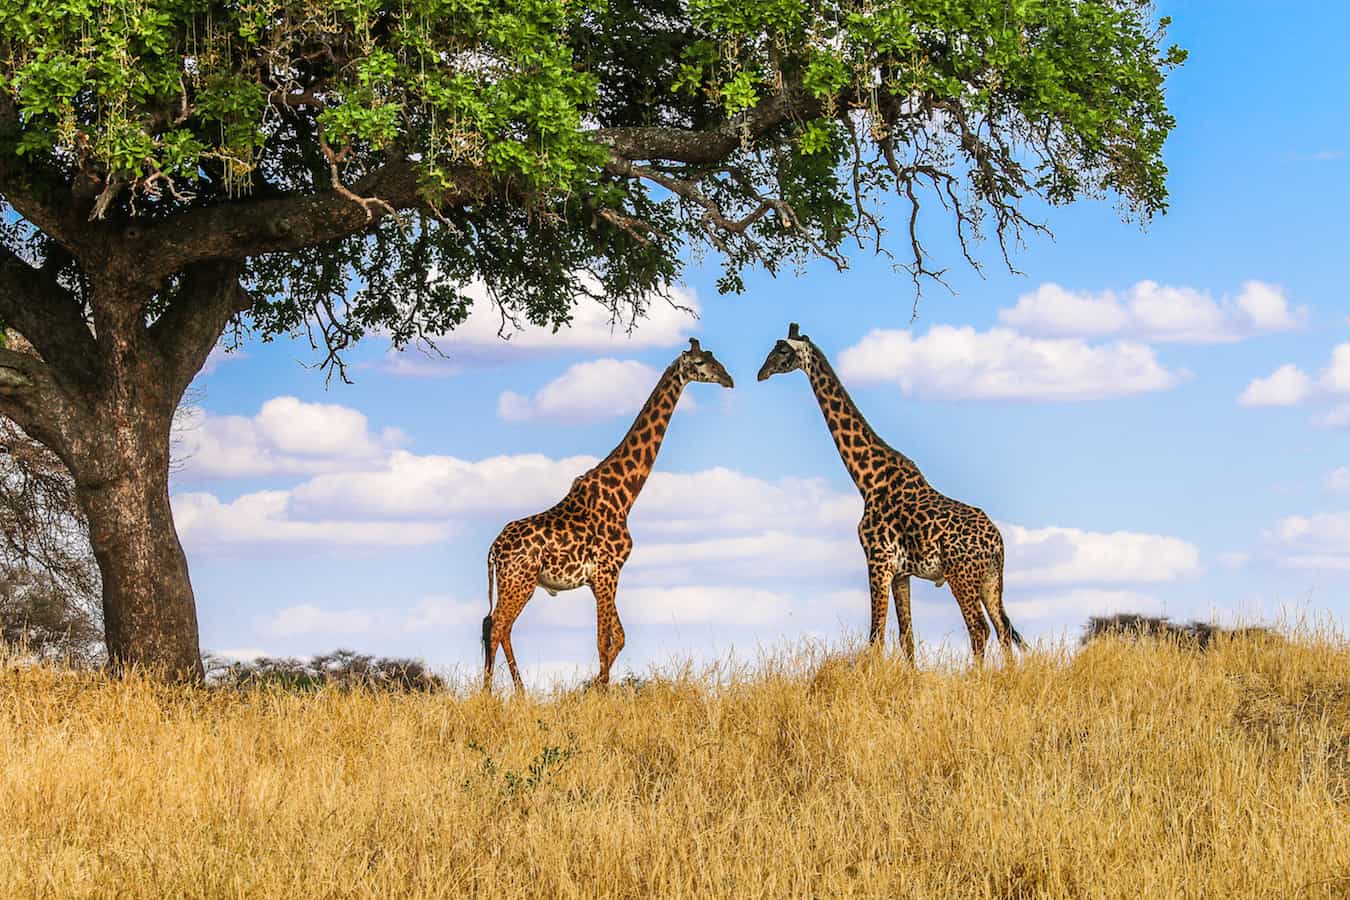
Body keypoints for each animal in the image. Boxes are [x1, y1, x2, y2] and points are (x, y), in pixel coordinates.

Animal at [483, 335, 739, 690]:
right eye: (701, 363)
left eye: (716, 359)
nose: (728, 379)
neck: (624, 496)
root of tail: (493, 549)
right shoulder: (608, 571)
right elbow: (604, 640)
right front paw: (600, 692)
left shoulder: (601, 578)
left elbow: (618, 638)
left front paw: (591, 688)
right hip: (519, 581)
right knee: (497, 626)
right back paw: (494, 694)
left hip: (517, 583)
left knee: (496, 626)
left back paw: (516, 693)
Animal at [761, 323, 1020, 661]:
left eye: (781, 351)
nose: (761, 373)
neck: (867, 480)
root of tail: (998, 543)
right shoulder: (901, 572)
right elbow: (905, 636)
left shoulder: (878, 560)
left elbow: (876, 636)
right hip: (990, 579)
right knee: (1002, 629)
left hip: (960, 574)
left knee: (979, 629)